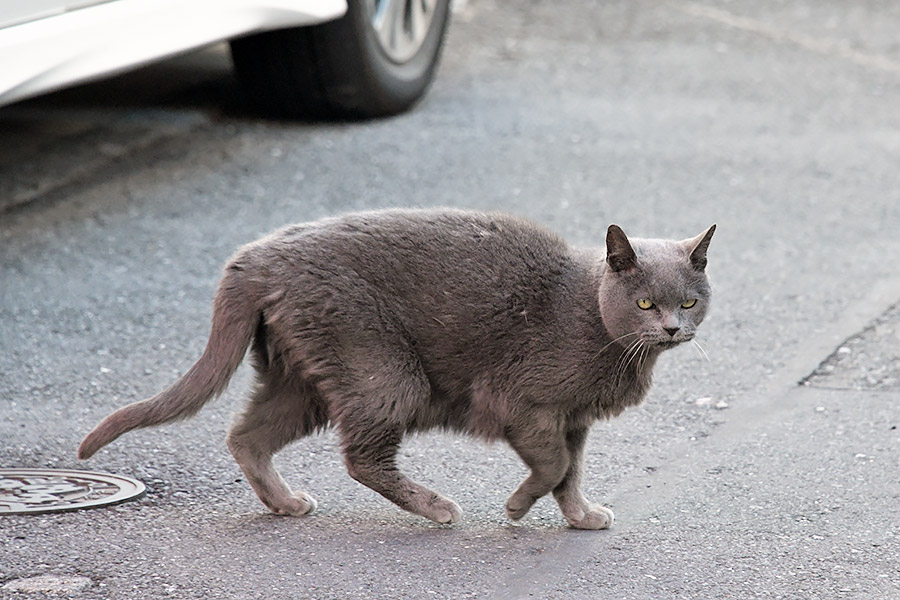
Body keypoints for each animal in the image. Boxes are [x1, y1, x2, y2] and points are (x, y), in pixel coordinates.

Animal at [79, 209, 716, 528]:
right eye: (644, 303)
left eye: (689, 301)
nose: (671, 328)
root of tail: (252, 257)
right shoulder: (527, 403)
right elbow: (556, 465)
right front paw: (515, 508)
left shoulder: (574, 418)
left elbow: (570, 472)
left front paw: (580, 516)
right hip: (382, 369)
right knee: (361, 458)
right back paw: (438, 508)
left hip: (302, 377)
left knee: (246, 435)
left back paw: (285, 503)